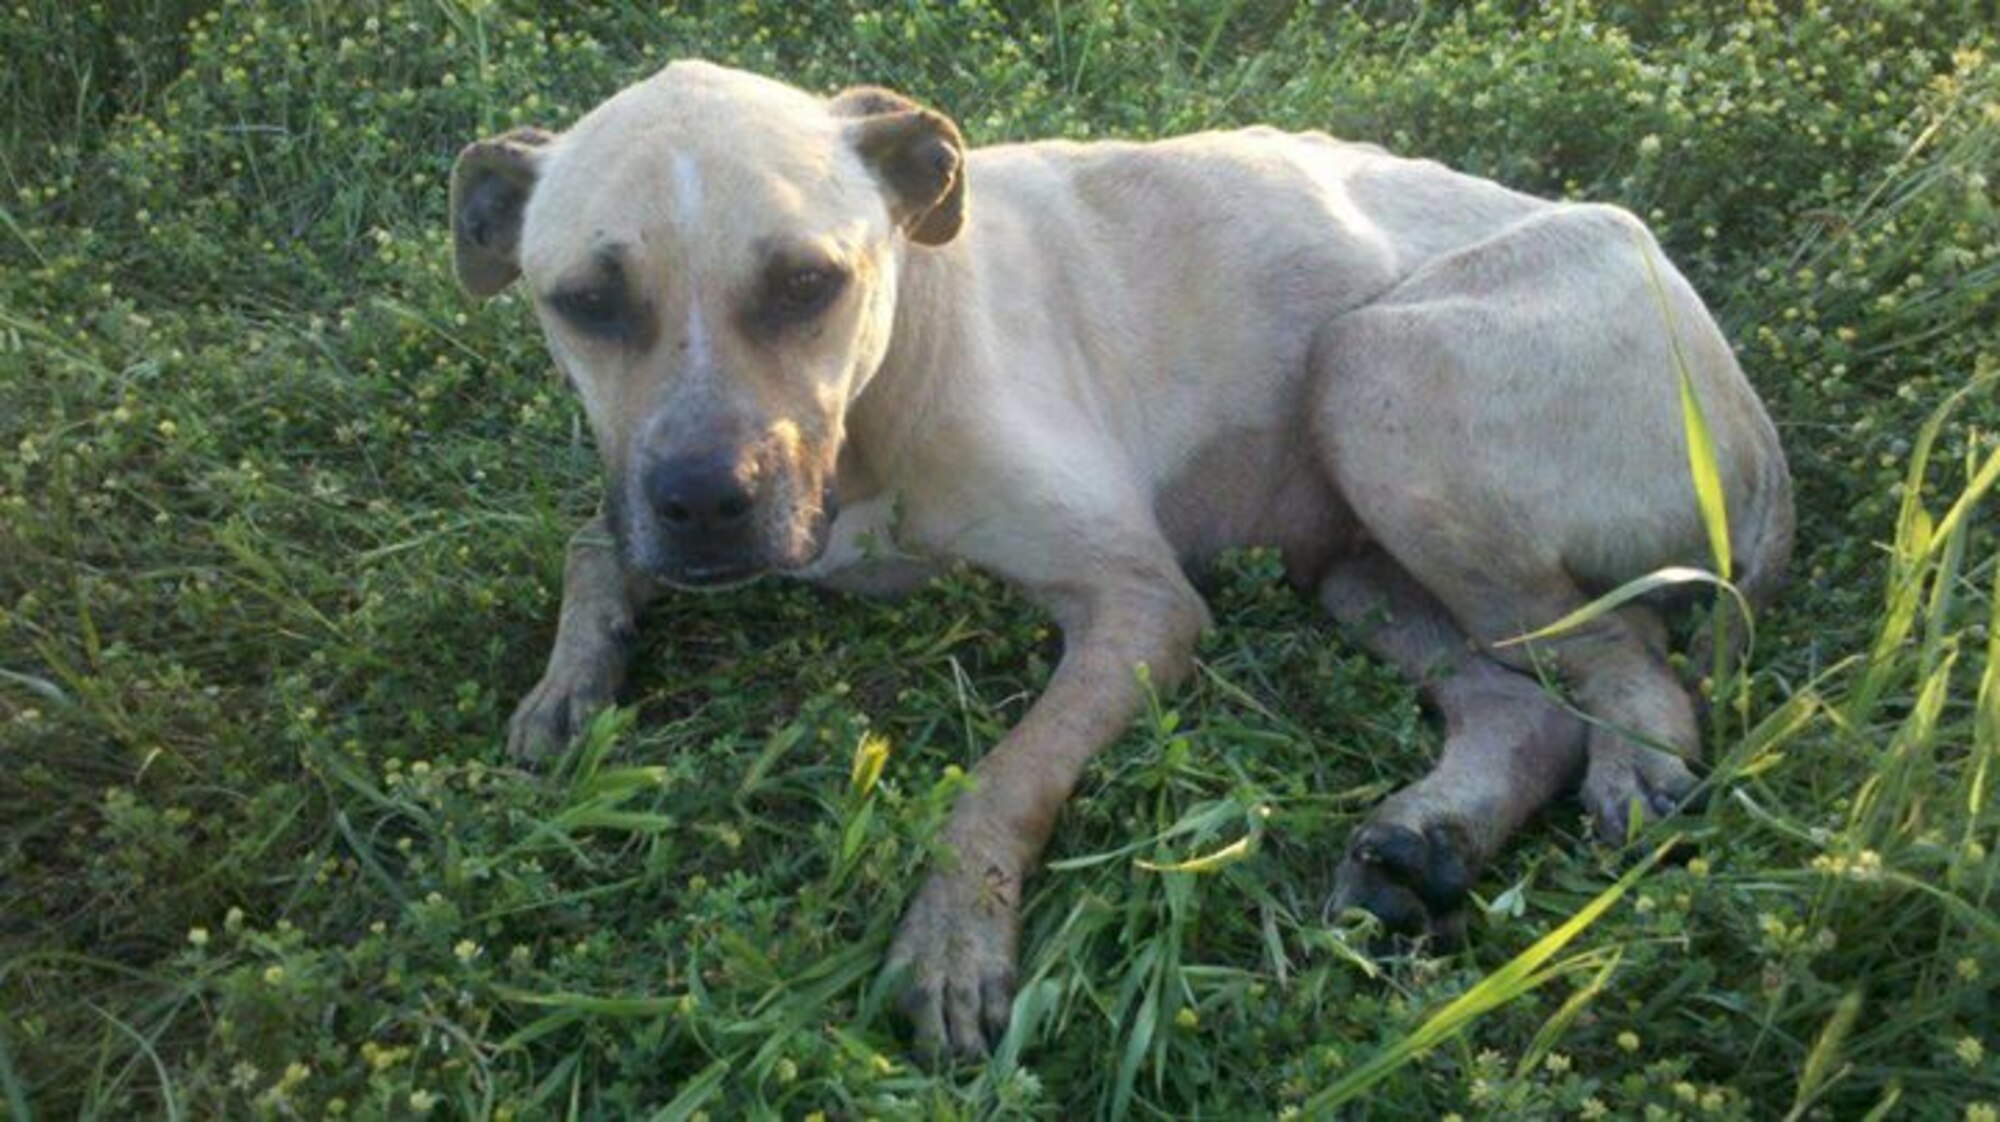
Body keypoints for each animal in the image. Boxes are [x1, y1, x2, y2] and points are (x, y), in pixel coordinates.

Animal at [454, 61, 1800, 1056]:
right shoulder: (662, 501)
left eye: (804, 283)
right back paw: (1424, 845)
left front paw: (955, 937)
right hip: (1351, 552)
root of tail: (1753, 433)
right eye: (584, 301)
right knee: (1523, 708)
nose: (704, 502)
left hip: (1375, 379)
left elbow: (1002, 777)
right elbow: (592, 537)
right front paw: (570, 681)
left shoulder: (1137, 604)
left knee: (1630, 666)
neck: (889, 368)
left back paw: (1634, 773)